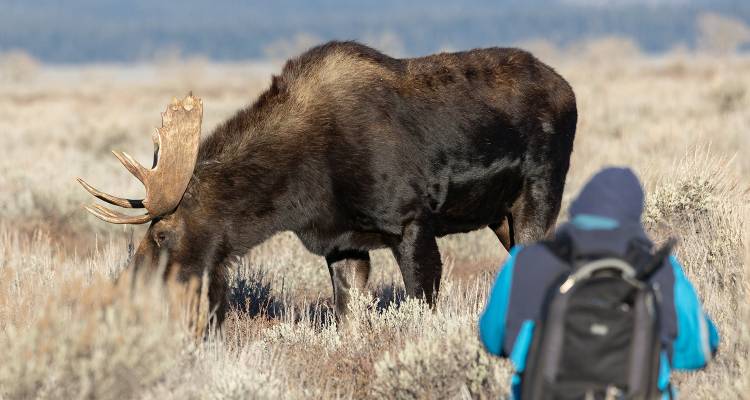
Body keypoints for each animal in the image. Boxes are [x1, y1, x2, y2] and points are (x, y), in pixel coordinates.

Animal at [79, 42, 580, 326]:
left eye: (162, 234)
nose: (130, 289)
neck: (298, 192)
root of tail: (569, 91)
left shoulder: (411, 222)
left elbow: (421, 309)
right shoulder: (343, 241)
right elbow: (347, 319)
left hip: (539, 195)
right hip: (499, 217)